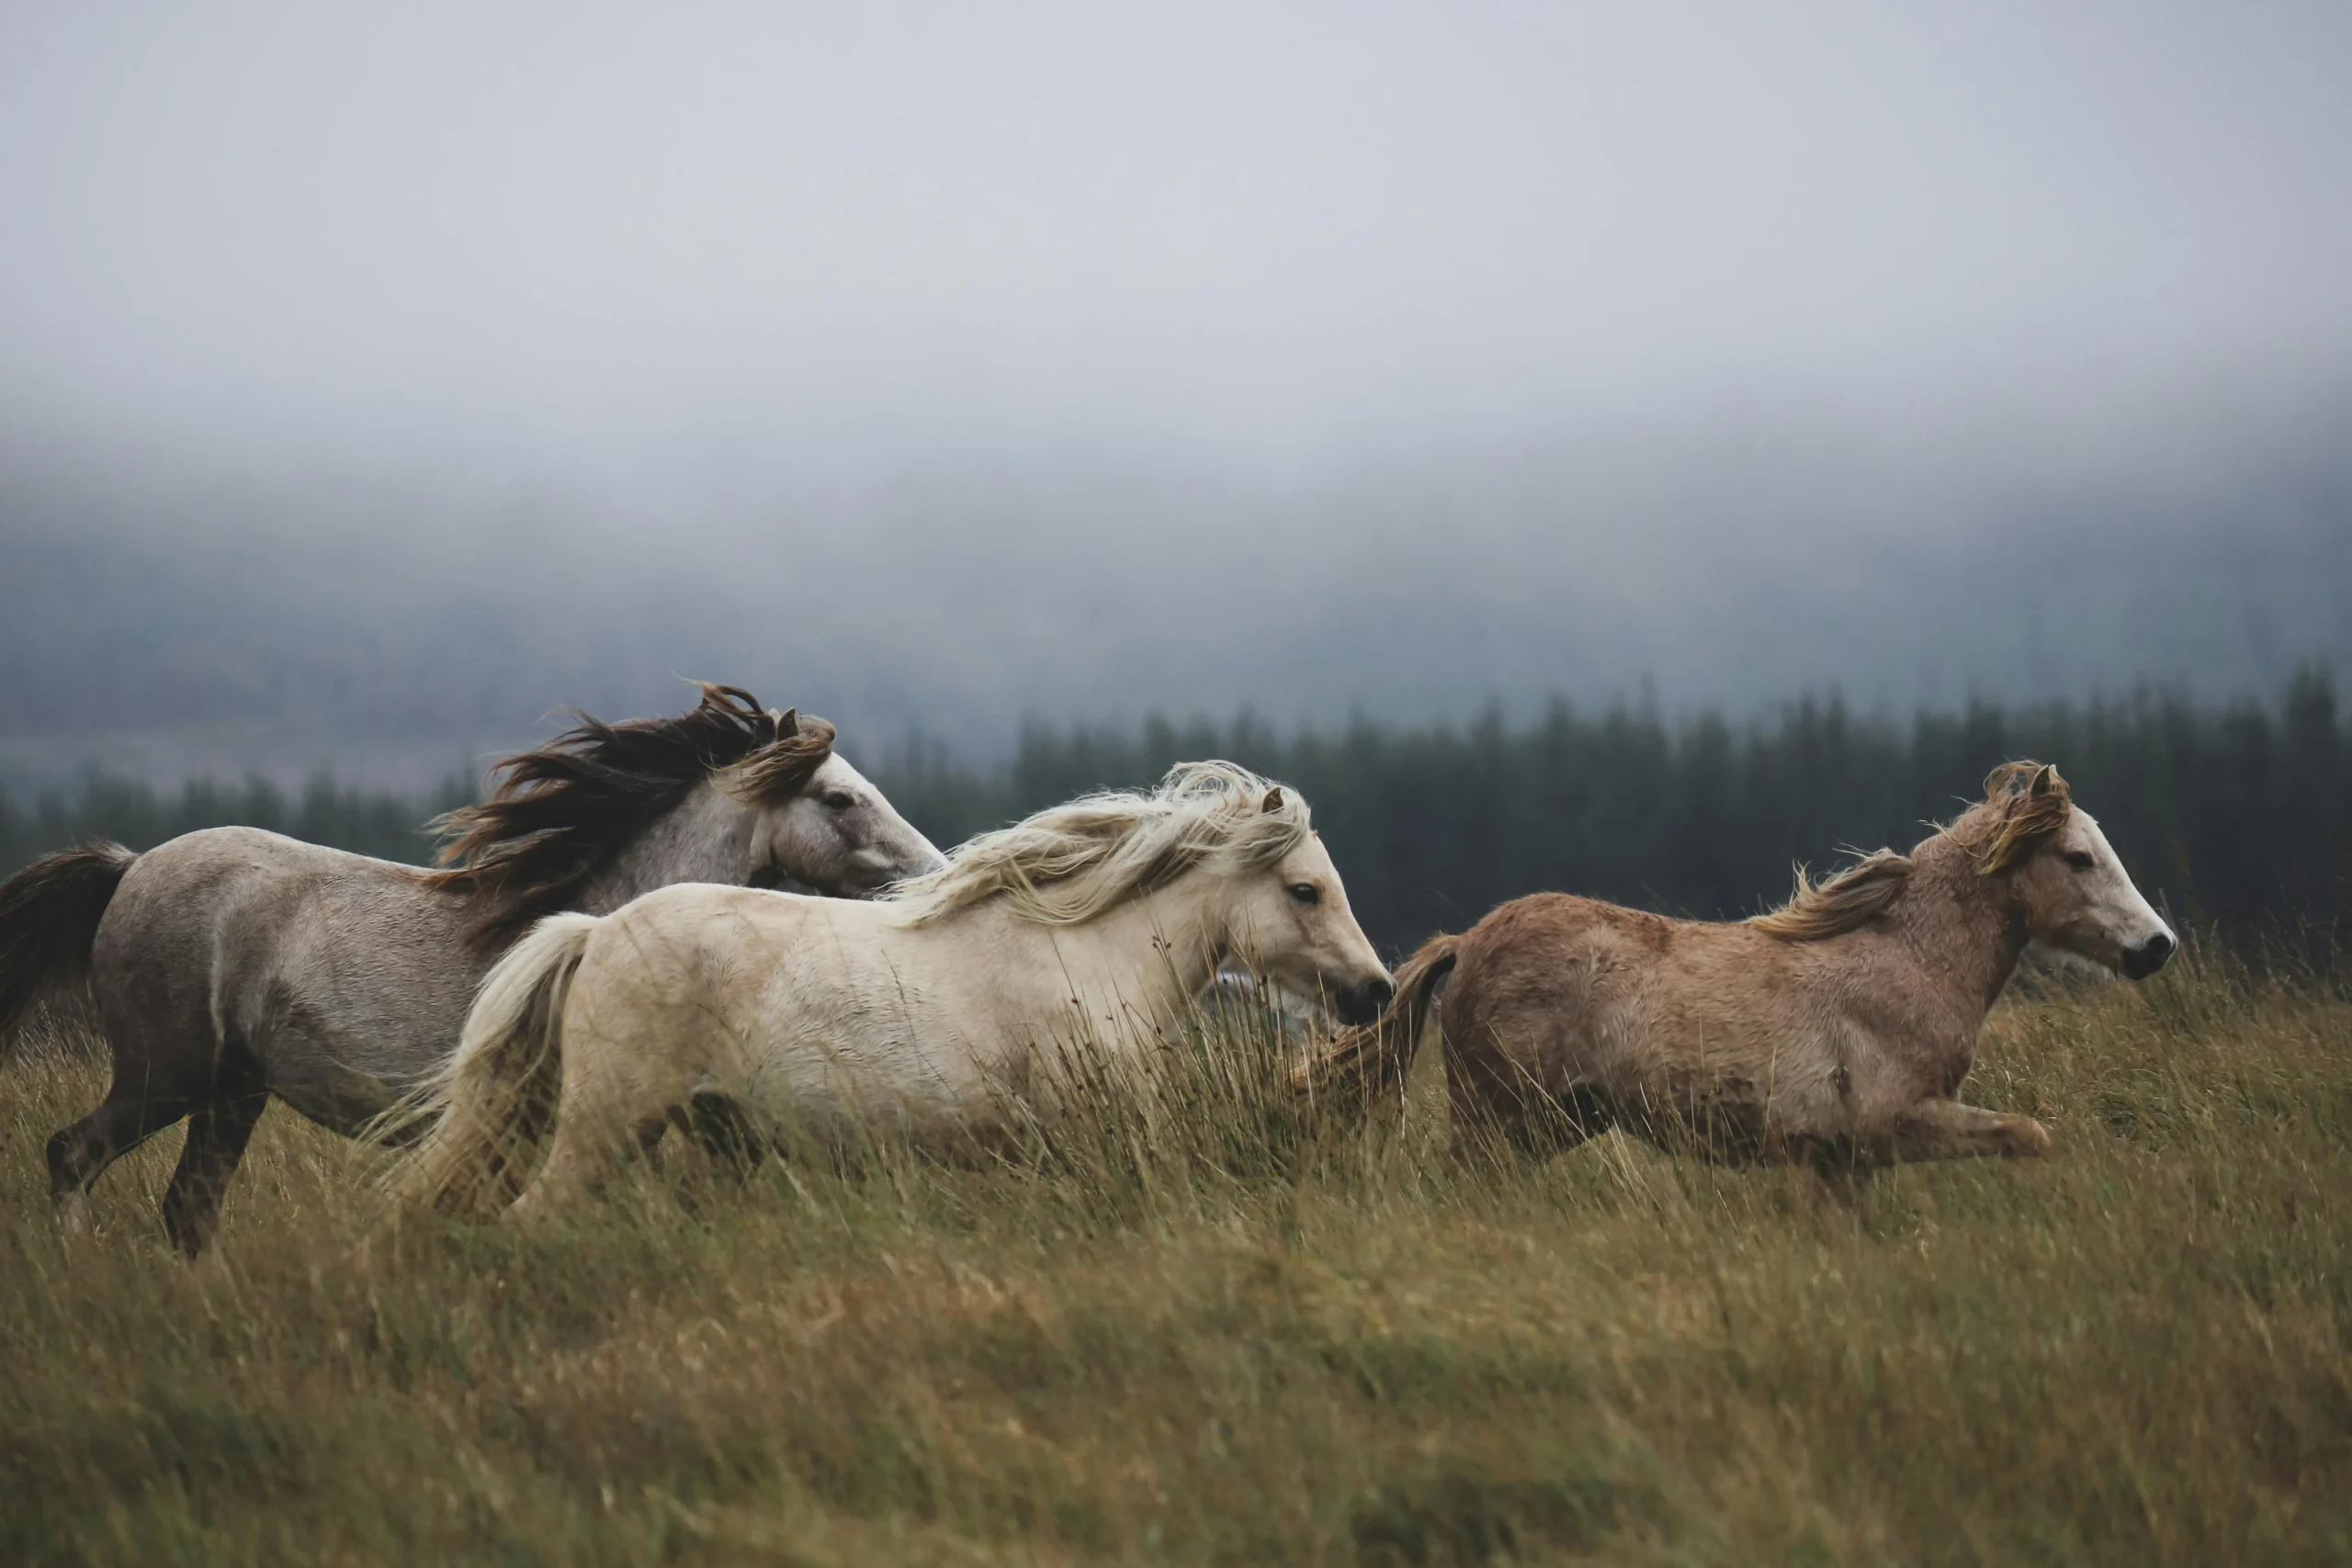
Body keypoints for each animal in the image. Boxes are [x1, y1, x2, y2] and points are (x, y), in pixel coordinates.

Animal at [2, 682, 935, 1259]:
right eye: (839, 799)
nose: (927, 872)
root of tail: (129, 867)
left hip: (233, 1092)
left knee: (188, 1208)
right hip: (167, 1073)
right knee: (73, 1154)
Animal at [1298, 761, 2173, 1166]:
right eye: (2078, 857)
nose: (2156, 945)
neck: (1909, 962)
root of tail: (1468, 940)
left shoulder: (1836, 1162)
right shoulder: (1897, 1121)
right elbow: (2030, 1135)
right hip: (1501, 1120)